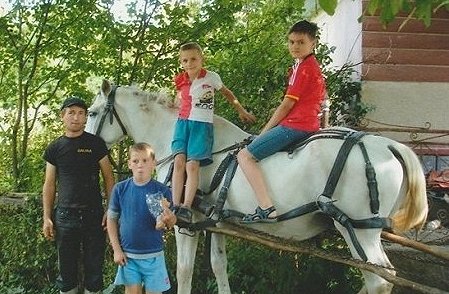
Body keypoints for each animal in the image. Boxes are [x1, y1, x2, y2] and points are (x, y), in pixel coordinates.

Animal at [86, 80, 428, 294]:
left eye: (92, 112)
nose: (87, 145)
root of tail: (386, 145)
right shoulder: (215, 222)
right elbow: (218, 266)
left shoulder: (186, 221)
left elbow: (183, 271)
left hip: (357, 229)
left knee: (379, 279)